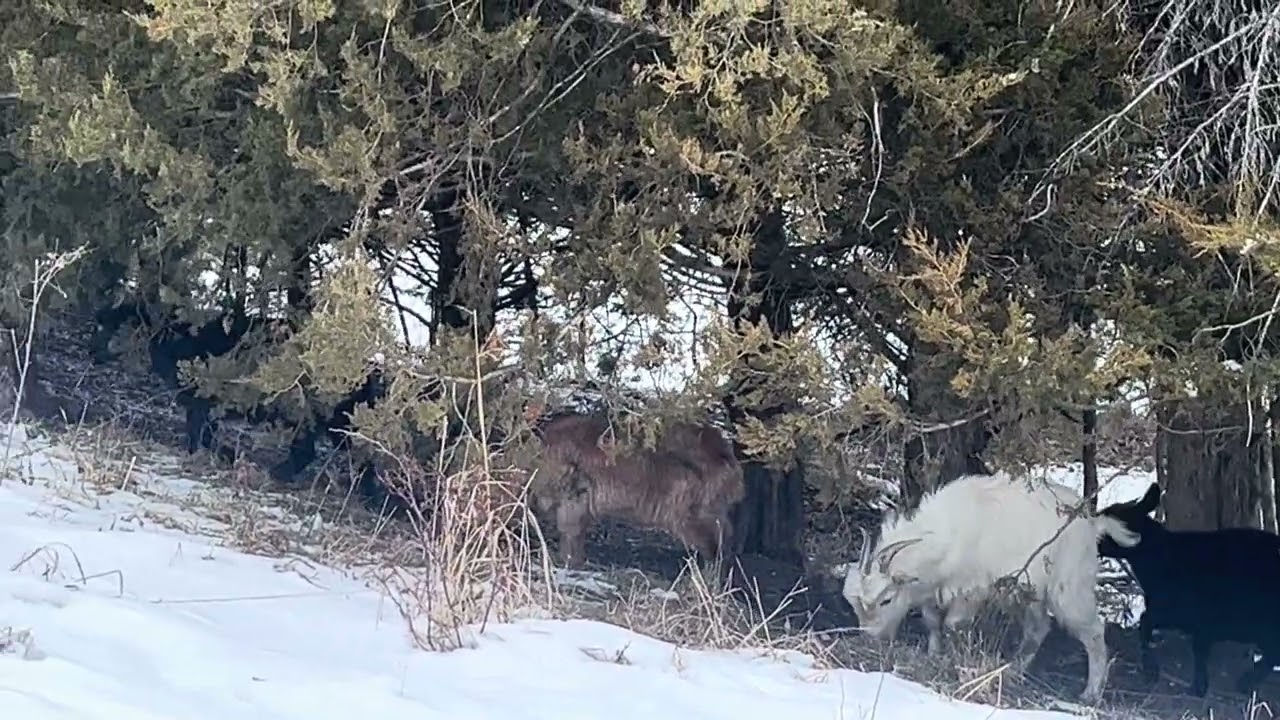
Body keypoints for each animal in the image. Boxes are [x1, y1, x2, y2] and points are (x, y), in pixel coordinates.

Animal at [529, 411, 745, 575]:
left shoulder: (573, 498)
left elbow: (570, 532)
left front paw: (569, 563)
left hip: (690, 514)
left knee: (715, 544)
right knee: (725, 538)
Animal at [842, 471, 1141, 704]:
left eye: (886, 600)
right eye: (856, 604)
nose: (870, 638)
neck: (943, 535)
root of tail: (1092, 523)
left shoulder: (970, 590)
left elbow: (953, 625)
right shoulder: (932, 591)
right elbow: (932, 623)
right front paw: (933, 654)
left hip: (1068, 587)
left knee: (1093, 631)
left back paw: (1090, 693)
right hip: (1028, 593)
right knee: (1038, 628)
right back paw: (1013, 671)